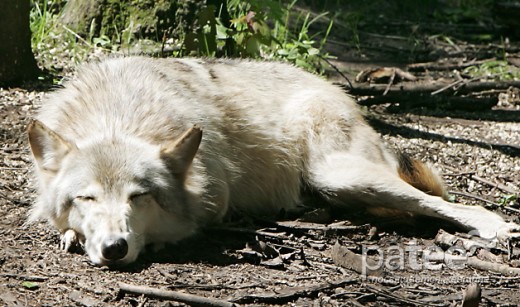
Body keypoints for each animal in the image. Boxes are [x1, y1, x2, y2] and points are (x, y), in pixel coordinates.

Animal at [27, 57, 520, 268]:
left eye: (140, 197)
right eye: (87, 198)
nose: (114, 248)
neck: (119, 109)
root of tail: (339, 91)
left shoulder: (215, 196)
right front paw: (72, 234)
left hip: (339, 175)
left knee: (447, 203)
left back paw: (494, 227)